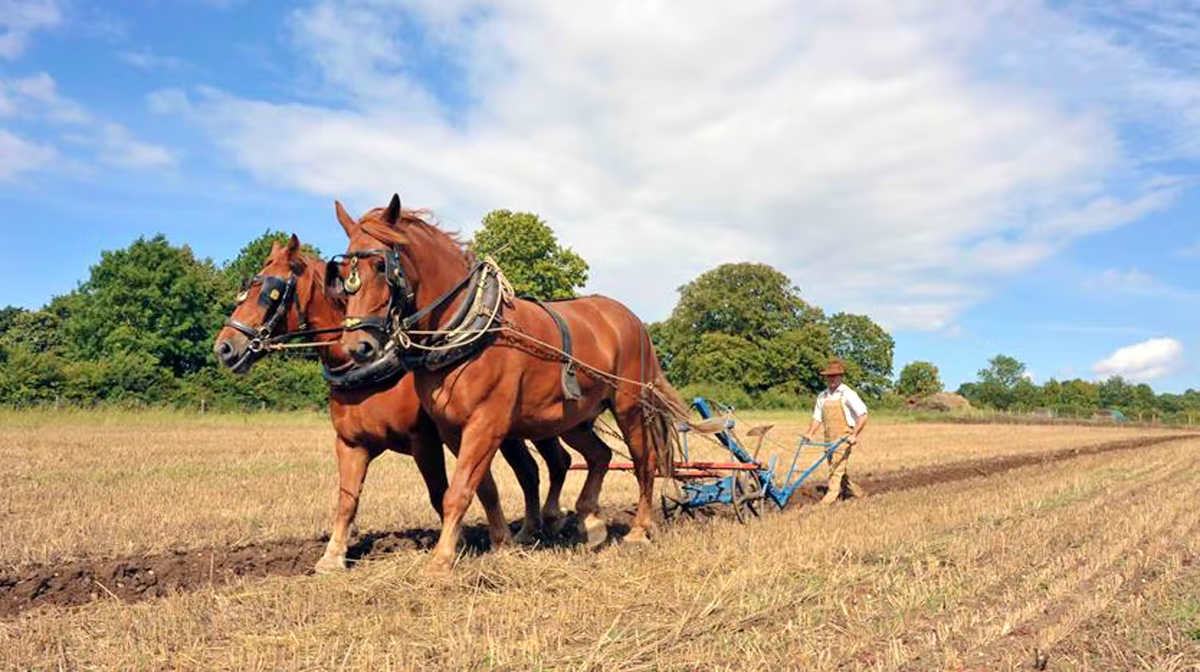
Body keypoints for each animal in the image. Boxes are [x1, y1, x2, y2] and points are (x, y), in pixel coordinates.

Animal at [214, 236, 571, 571]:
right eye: (246, 288)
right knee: (531, 470)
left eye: (271, 292)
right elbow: (347, 500)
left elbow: (439, 494)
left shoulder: (424, 441)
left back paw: (546, 524)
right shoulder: (351, 442)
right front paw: (333, 556)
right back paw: (530, 530)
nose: (225, 348)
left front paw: (455, 545)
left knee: (555, 463)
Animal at [333, 194, 686, 571]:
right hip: (573, 418)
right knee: (600, 455)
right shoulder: (452, 429)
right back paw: (589, 521)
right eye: (341, 275)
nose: (357, 346)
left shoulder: (486, 424)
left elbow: (458, 492)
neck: (468, 328)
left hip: (630, 406)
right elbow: (481, 488)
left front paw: (441, 560)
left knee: (644, 462)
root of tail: (632, 319)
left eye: (380, 266)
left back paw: (638, 530)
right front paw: (500, 542)